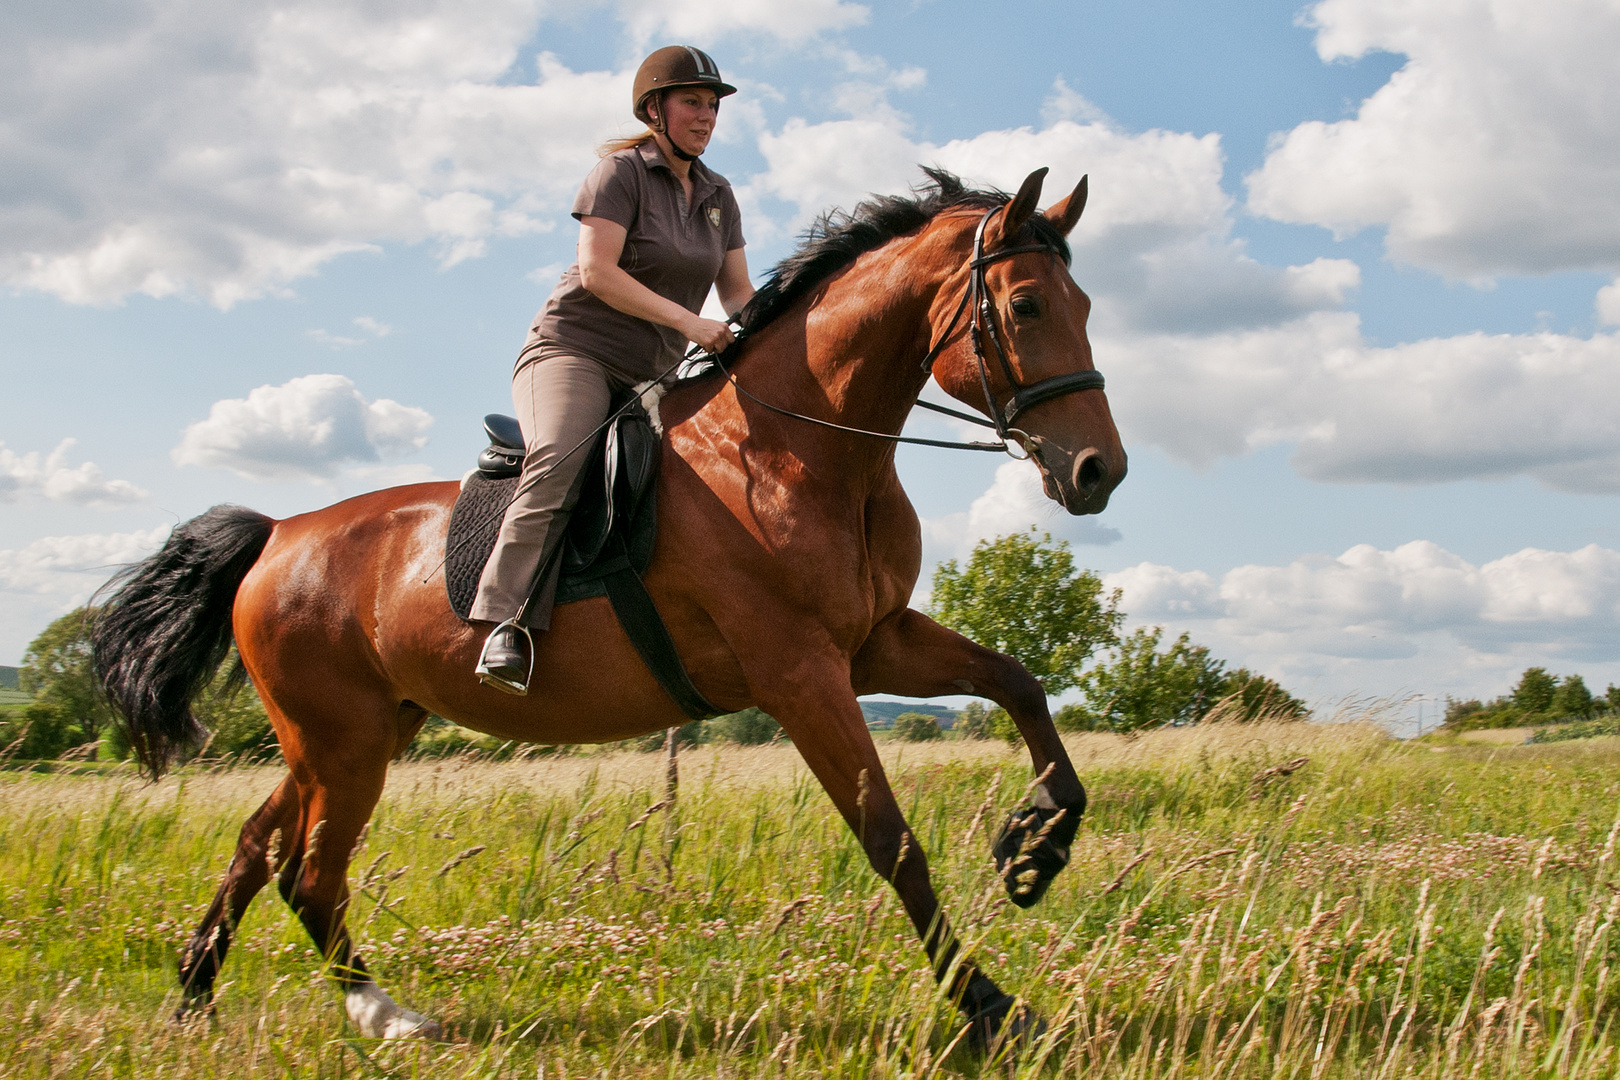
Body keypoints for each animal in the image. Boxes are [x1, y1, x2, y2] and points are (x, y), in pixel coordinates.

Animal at [88, 166, 1127, 1049]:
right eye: (1027, 305)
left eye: (1085, 305)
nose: (1098, 473)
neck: (800, 451)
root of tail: (276, 536)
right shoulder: (800, 673)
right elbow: (892, 839)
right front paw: (992, 1008)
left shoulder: (874, 644)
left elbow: (1018, 684)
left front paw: (1036, 846)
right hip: (340, 741)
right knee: (309, 871)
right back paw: (384, 1014)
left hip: (364, 729)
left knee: (259, 846)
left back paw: (196, 996)